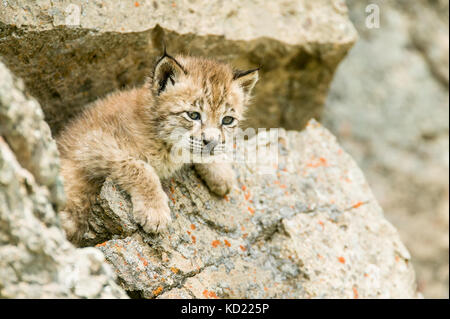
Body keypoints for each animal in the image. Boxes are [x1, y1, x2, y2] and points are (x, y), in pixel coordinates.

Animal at [56, 53, 260, 246]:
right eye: (193, 115)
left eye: (227, 120)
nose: (212, 143)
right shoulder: (91, 143)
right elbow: (139, 166)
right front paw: (154, 211)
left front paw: (220, 171)